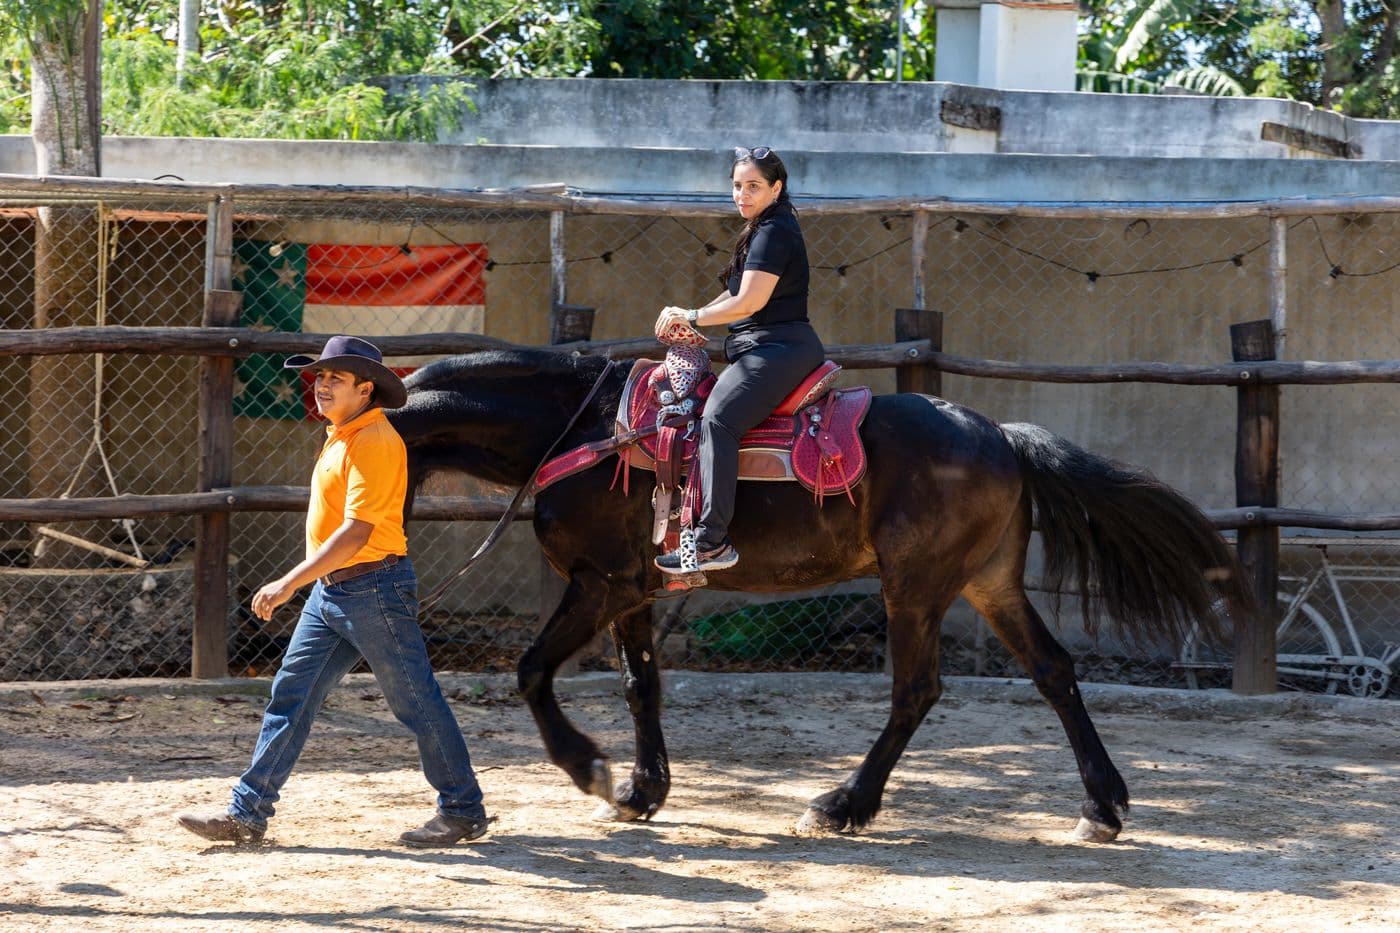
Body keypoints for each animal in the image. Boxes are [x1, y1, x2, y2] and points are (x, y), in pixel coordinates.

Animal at [389, 346, 1249, 842]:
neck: (585, 431)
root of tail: (1002, 436)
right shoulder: (635, 587)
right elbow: (642, 685)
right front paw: (641, 789)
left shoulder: (601, 583)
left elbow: (533, 669)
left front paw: (590, 768)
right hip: (989, 582)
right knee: (1055, 671)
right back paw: (1102, 806)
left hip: (917, 587)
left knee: (917, 690)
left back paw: (843, 803)